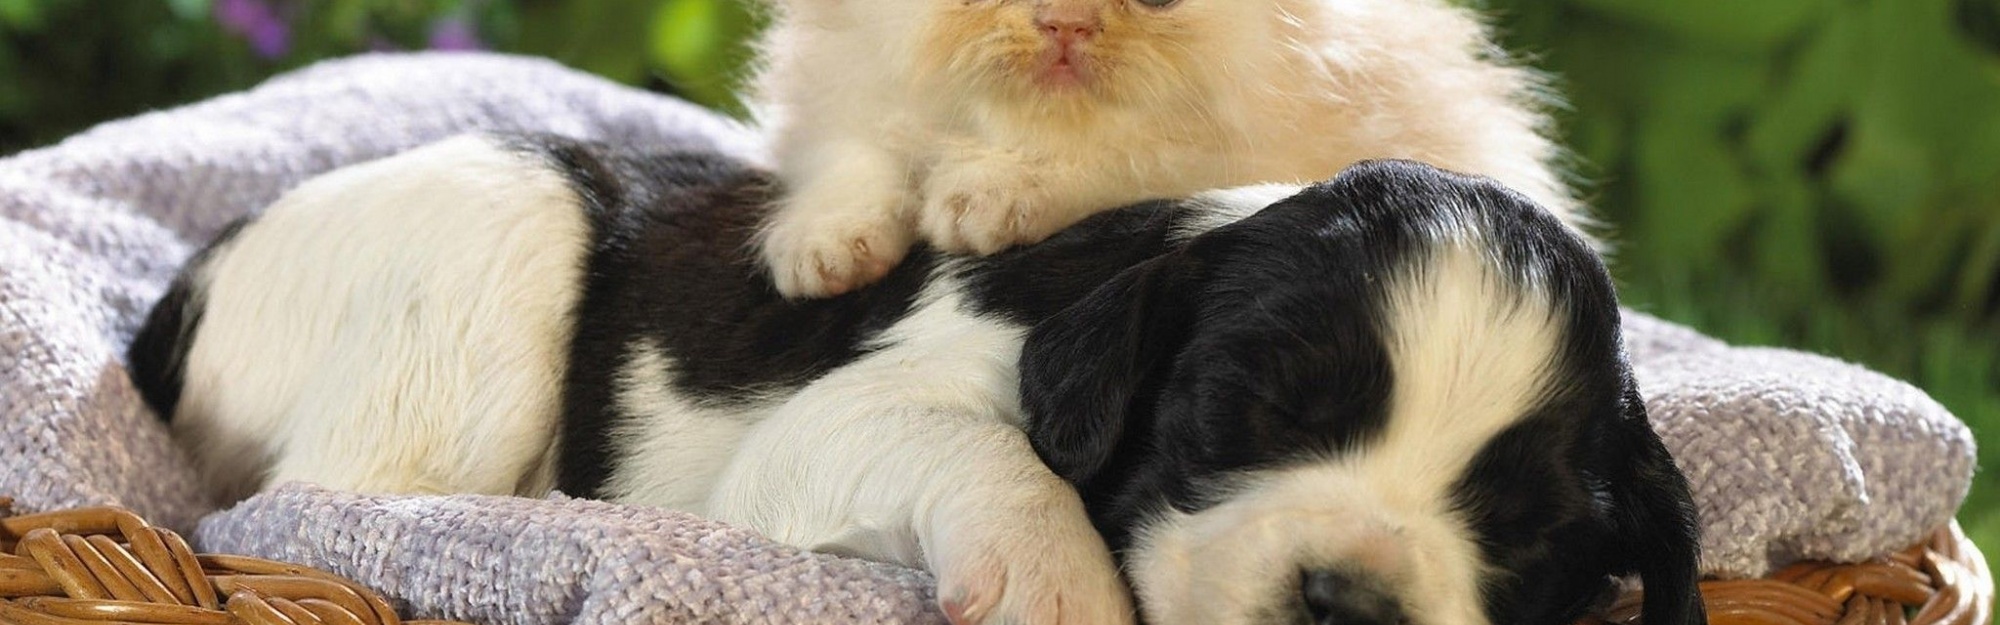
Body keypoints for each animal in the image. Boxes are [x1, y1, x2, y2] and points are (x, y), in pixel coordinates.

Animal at [129, 134, 1704, 625]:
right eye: (1246, 416)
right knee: (337, 495)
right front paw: (1057, 581)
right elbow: (982, 452)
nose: (1352, 602)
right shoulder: (842, 421)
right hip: (491, 241)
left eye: (1522, 537)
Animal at [752, 0, 1576, 298]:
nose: (1065, 23)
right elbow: (859, 160)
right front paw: (826, 246)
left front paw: (989, 193)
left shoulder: (1218, 156)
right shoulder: (842, 96)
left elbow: (1105, 159)